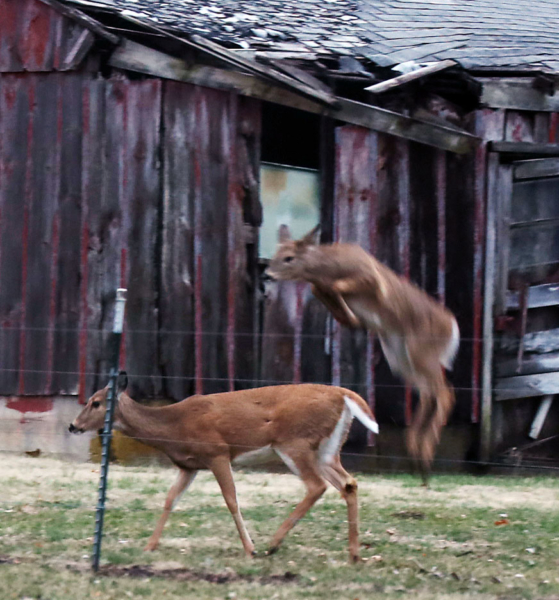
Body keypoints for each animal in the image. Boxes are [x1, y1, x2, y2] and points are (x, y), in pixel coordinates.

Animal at [68, 370, 378, 564]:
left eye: (96, 403)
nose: (73, 425)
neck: (174, 426)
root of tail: (344, 396)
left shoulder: (217, 452)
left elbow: (231, 499)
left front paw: (250, 549)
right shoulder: (189, 465)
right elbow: (170, 499)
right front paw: (149, 545)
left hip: (295, 442)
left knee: (317, 486)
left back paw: (272, 544)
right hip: (327, 450)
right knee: (349, 483)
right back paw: (354, 554)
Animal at [266, 227, 460, 486]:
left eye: (289, 258)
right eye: (275, 254)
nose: (267, 275)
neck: (331, 265)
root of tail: (453, 329)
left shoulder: (371, 278)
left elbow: (336, 286)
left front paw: (353, 317)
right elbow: (321, 290)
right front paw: (352, 318)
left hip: (421, 352)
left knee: (444, 393)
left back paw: (424, 459)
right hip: (399, 358)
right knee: (431, 394)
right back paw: (419, 459)